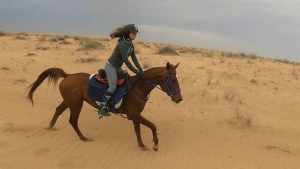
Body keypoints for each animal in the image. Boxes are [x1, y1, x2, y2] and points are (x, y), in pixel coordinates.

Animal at [27, 61, 183, 151]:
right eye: (173, 80)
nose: (179, 99)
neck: (138, 87)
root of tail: (67, 75)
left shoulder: (135, 115)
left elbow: (137, 130)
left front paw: (142, 145)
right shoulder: (133, 114)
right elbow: (152, 126)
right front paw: (155, 144)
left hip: (70, 101)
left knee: (58, 110)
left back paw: (50, 126)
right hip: (76, 104)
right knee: (73, 120)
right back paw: (83, 138)